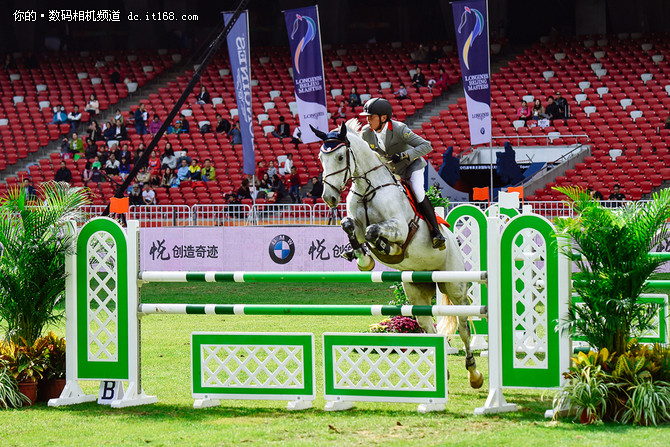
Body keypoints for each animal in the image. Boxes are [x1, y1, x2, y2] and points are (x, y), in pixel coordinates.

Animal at [312, 121, 486, 388]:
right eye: (321, 158)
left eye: (340, 157)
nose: (328, 198)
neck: (367, 189)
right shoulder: (356, 225)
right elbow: (350, 226)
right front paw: (363, 258)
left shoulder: (400, 229)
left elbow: (375, 231)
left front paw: (384, 249)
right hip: (416, 293)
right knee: (428, 327)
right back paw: (443, 373)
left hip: (454, 286)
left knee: (464, 328)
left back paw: (474, 374)